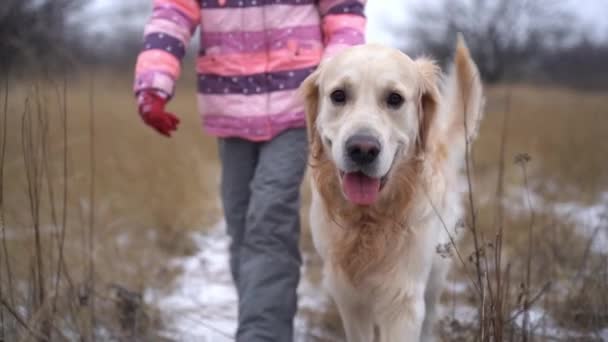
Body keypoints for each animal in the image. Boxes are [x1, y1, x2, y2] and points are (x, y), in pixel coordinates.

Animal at [300, 36, 484, 340]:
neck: (368, 221)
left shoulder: (403, 300)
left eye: (395, 99)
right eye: (338, 95)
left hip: (435, 275)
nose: (362, 149)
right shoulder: (349, 297)